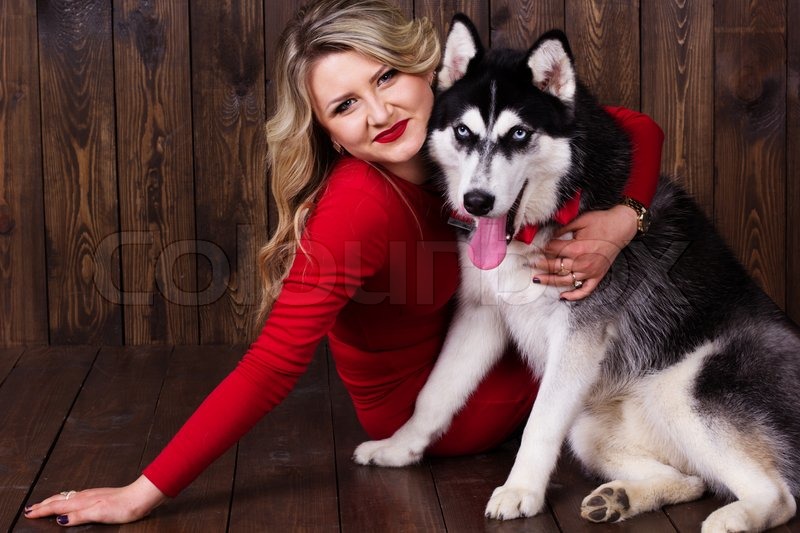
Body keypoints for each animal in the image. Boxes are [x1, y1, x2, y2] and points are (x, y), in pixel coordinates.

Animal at [356, 13, 800, 532]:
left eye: (519, 135)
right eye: (463, 131)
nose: (477, 201)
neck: (543, 222)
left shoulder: (578, 332)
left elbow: (540, 421)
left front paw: (521, 491)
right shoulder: (482, 314)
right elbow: (436, 393)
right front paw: (398, 448)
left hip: (687, 390)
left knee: (778, 495)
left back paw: (735, 516)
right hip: (590, 428)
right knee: (693, 480)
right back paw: (622, 497)